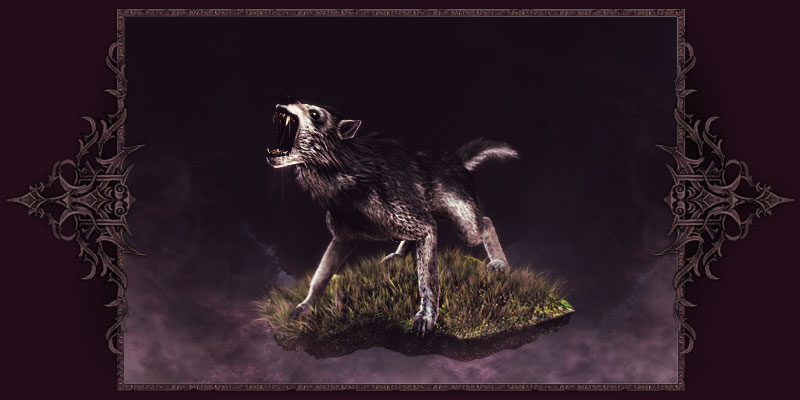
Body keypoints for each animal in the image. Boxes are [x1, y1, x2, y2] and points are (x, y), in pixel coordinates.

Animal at [266, 97, 518, 336]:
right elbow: (320, 276)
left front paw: (426, 317)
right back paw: (398, 256)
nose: (283, 101)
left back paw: (500, 264)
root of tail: (456, 160)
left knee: (485, 224)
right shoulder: (342, 239)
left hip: (466, 225)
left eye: (315, 114)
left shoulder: (420, 225)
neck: (344, 176)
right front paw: (306, 306)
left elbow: (428, 280)